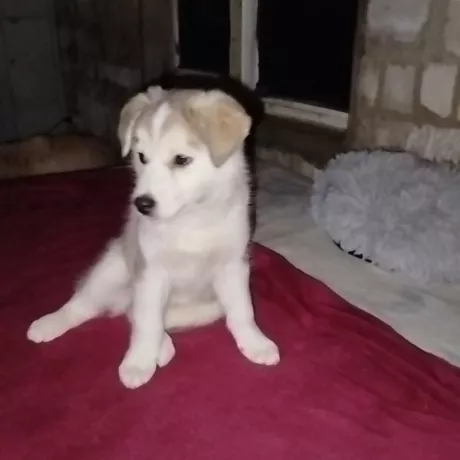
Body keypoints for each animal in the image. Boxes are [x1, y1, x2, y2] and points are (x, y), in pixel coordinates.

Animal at [27, 86, 280, 389]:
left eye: (181, 160)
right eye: (141, 157)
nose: (142, 205)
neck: (190, 220)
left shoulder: (232, 266)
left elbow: (242, 311)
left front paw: (255, 343)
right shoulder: (151, 271)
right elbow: (147, 322)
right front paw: (138, 362)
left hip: (208, 307)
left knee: (138, 314)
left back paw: (163, 346)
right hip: (112, 268)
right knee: (87, 304)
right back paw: (49, 324)